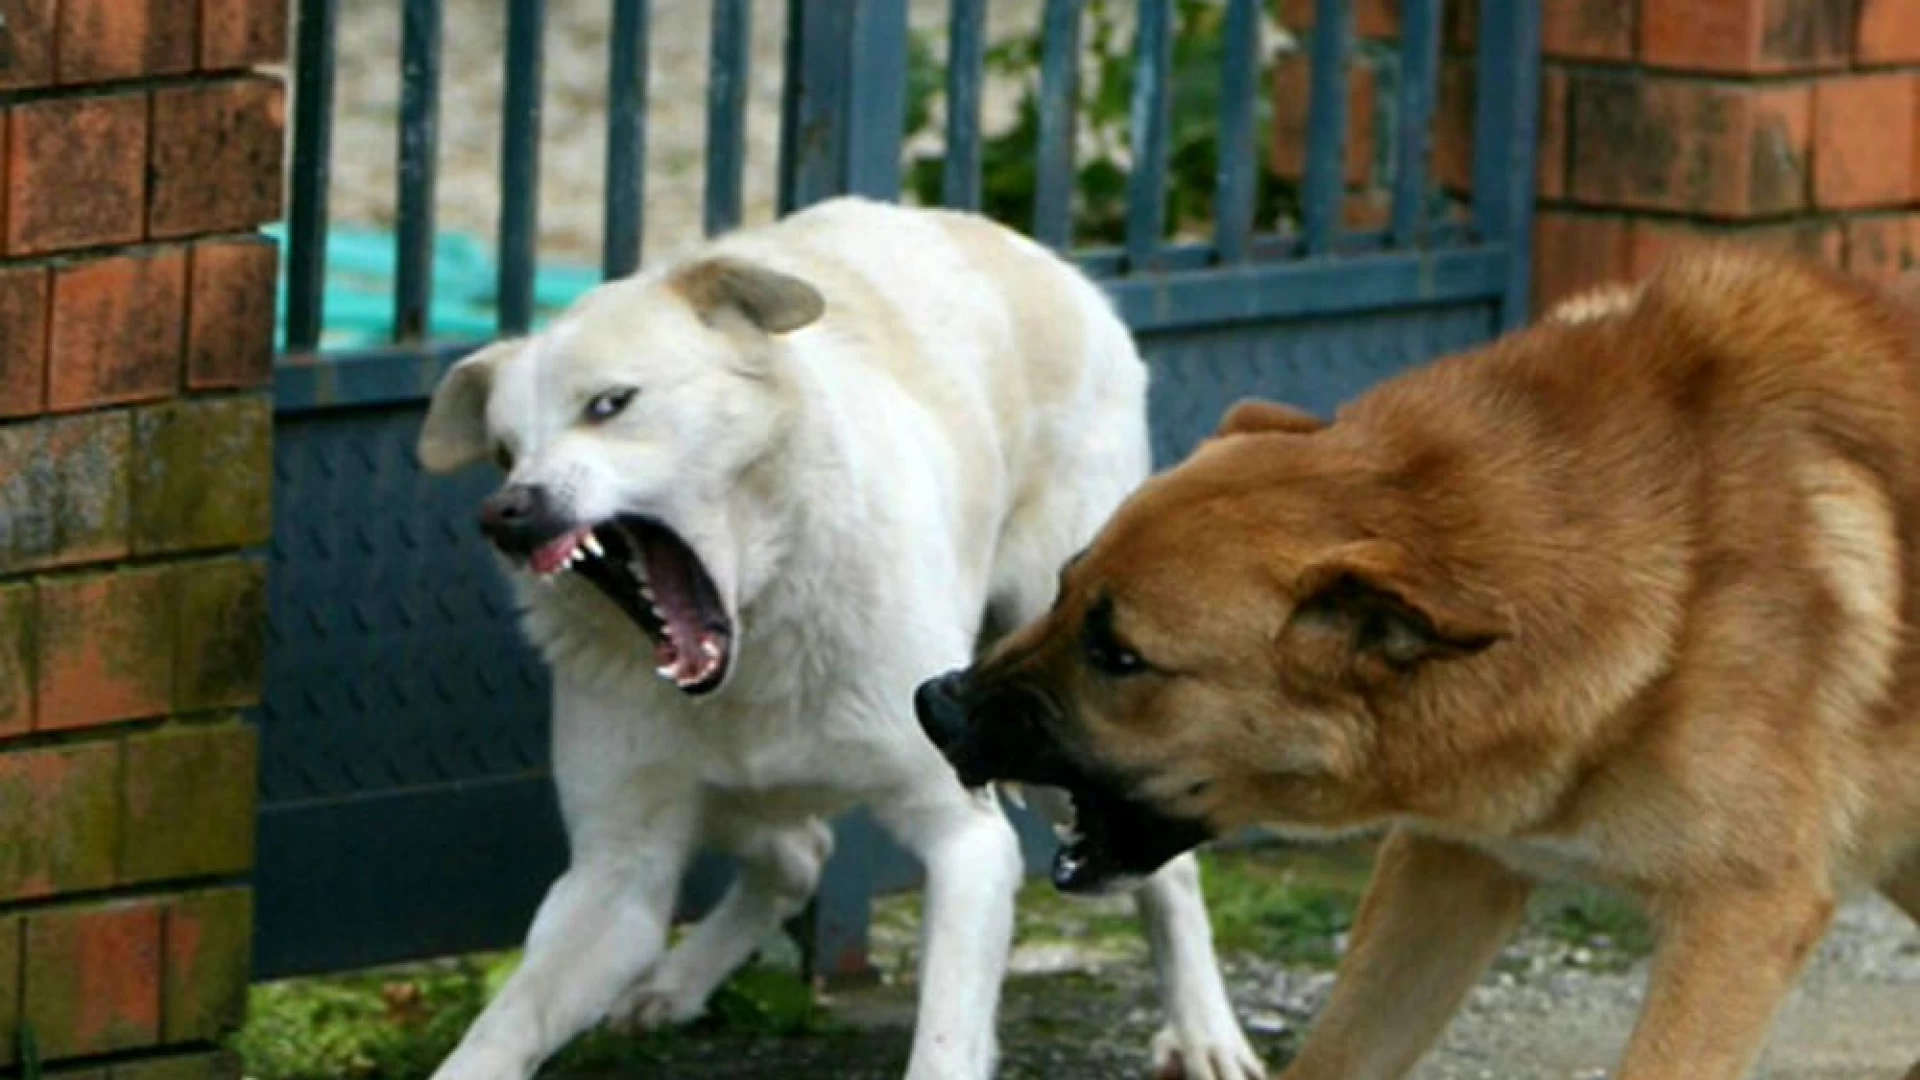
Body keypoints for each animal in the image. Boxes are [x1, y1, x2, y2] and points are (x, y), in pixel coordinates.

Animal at [412, 195, 1267, 1076]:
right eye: (504, 452)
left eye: (610, 404)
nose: (505, 513)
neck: (759, 631)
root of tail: (1025, 249)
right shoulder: (614, 879)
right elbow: (500, 1031)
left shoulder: (965, 838)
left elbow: (946, 1039)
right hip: (734, 800)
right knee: (798, 853)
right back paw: (679, 980)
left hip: (1061, 733)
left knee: (1168, 874)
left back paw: (1203, 1034)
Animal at [913, 245, 1920, 1076]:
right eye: (1062, 588)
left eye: (1119, 654)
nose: (936, 705)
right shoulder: (1449, 871)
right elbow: (1340, 1053)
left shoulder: (1738, 919)